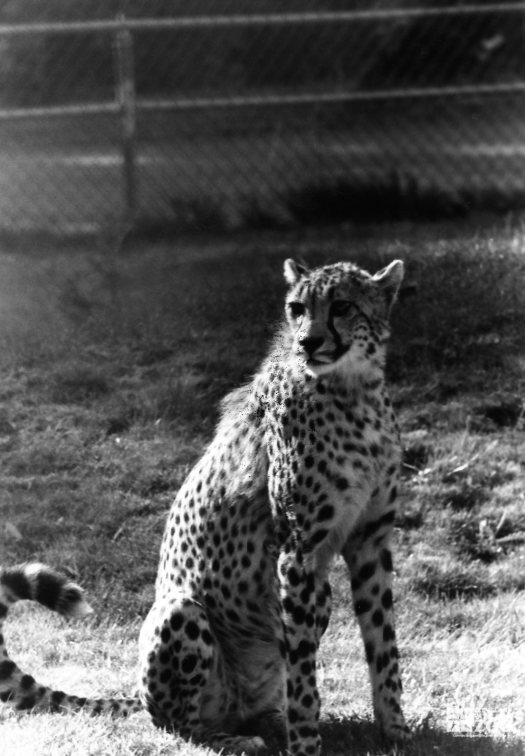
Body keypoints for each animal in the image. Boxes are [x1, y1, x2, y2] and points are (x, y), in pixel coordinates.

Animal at [0, 256, 410, 752]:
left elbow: (383, 642)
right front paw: (306, 745)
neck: (353, 389)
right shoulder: (297, 550)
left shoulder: (370, 539)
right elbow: (304, 671)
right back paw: (238, 740)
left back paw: (269, 723)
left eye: (343, 306)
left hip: (316, 600)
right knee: (182, 726)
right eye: (296, 308)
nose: (308, 342)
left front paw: (396, 730)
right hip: (182, 613)